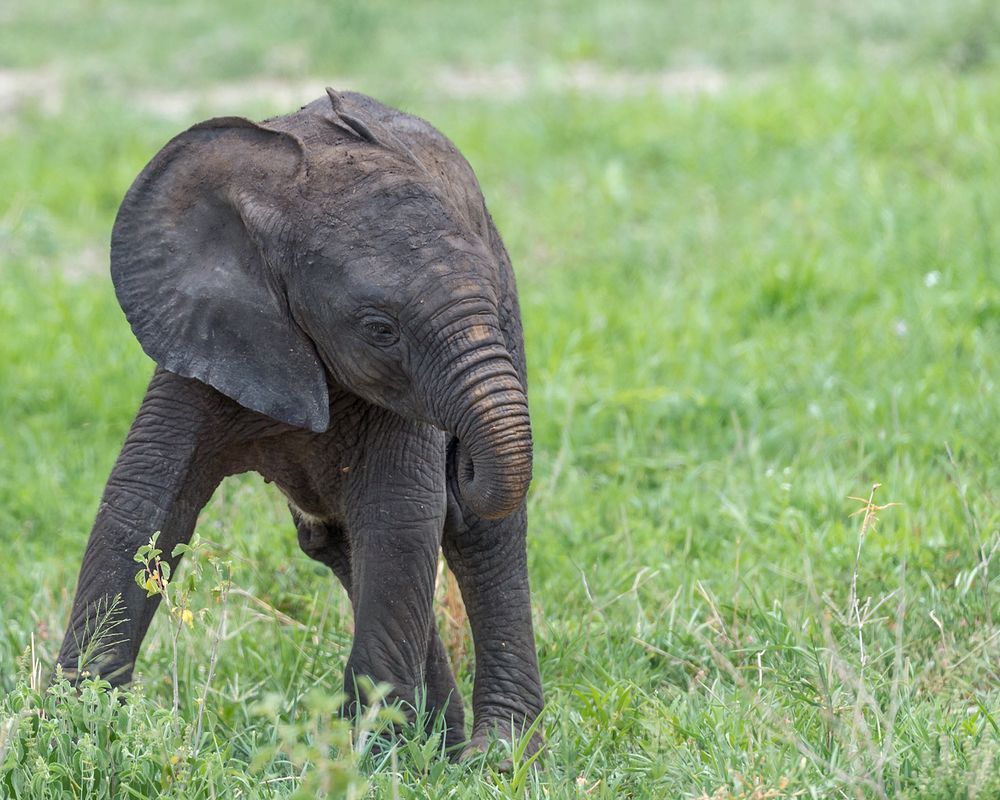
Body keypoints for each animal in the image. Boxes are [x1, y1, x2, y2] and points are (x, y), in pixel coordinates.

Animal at [56, 89, 548, 764]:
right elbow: (141, 503)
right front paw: (76, 734)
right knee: (341, 540)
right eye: (380, 328)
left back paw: (493, 757)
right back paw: (443, 747)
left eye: (492, 306)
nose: (463, 452)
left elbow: (401, 514)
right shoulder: (203, 328)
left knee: (477, 532)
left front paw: (367, 764)